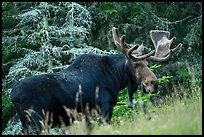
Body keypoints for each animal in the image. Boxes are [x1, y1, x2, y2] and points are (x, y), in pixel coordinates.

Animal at [9, 27, 182, 135]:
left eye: (147, 63)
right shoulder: (104, 108)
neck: (115, 77)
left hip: (27, 123)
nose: (153, 83)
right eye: (136, 64)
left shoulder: (86, 117)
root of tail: (13, 95)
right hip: (37, 121)